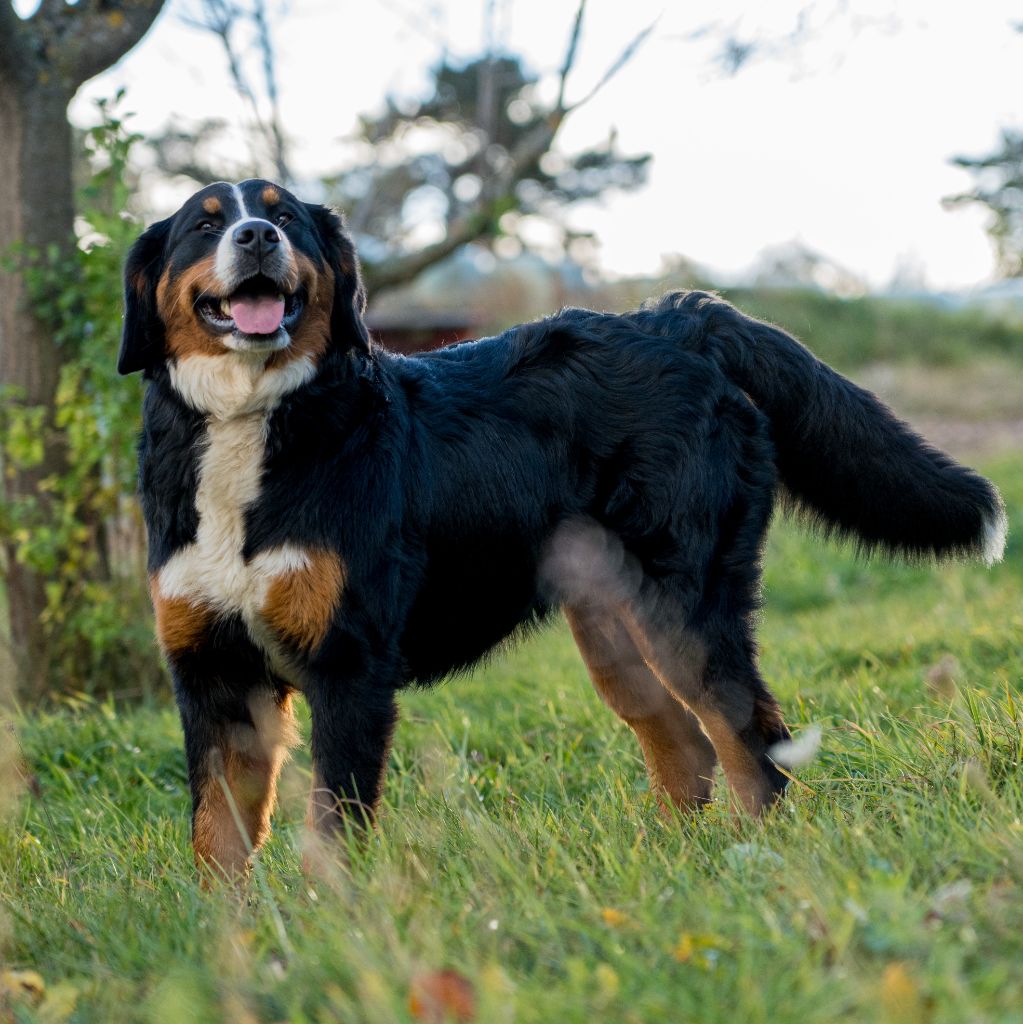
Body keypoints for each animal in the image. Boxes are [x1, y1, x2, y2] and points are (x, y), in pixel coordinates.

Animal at [119, 176, 1007, 880]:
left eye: (287, 218)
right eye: (203, 223)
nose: (255, 236)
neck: (254, 420)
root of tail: (678, 319)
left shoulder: (349, 666)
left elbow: (333, 829)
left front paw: (333, 928)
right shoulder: (212, 674)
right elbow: (216, 839)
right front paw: (233, 947)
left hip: (684, 609)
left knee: (750, 743)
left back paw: (762, 870)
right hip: (612, 628)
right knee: (686, 749)